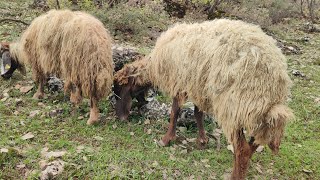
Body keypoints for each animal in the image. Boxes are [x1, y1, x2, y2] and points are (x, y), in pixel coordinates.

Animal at [112, 18, 292, 179]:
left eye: (119, 88)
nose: (121, 118)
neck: (154, 66)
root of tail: (274, 77)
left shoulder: (180, 82)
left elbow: (174, 112)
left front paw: (166, 139)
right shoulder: (198, 87)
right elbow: (198, 114)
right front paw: (202, 140)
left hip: (234, 107)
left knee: (242, 149)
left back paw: (236, 176)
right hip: (255, 113)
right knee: (253, 144)